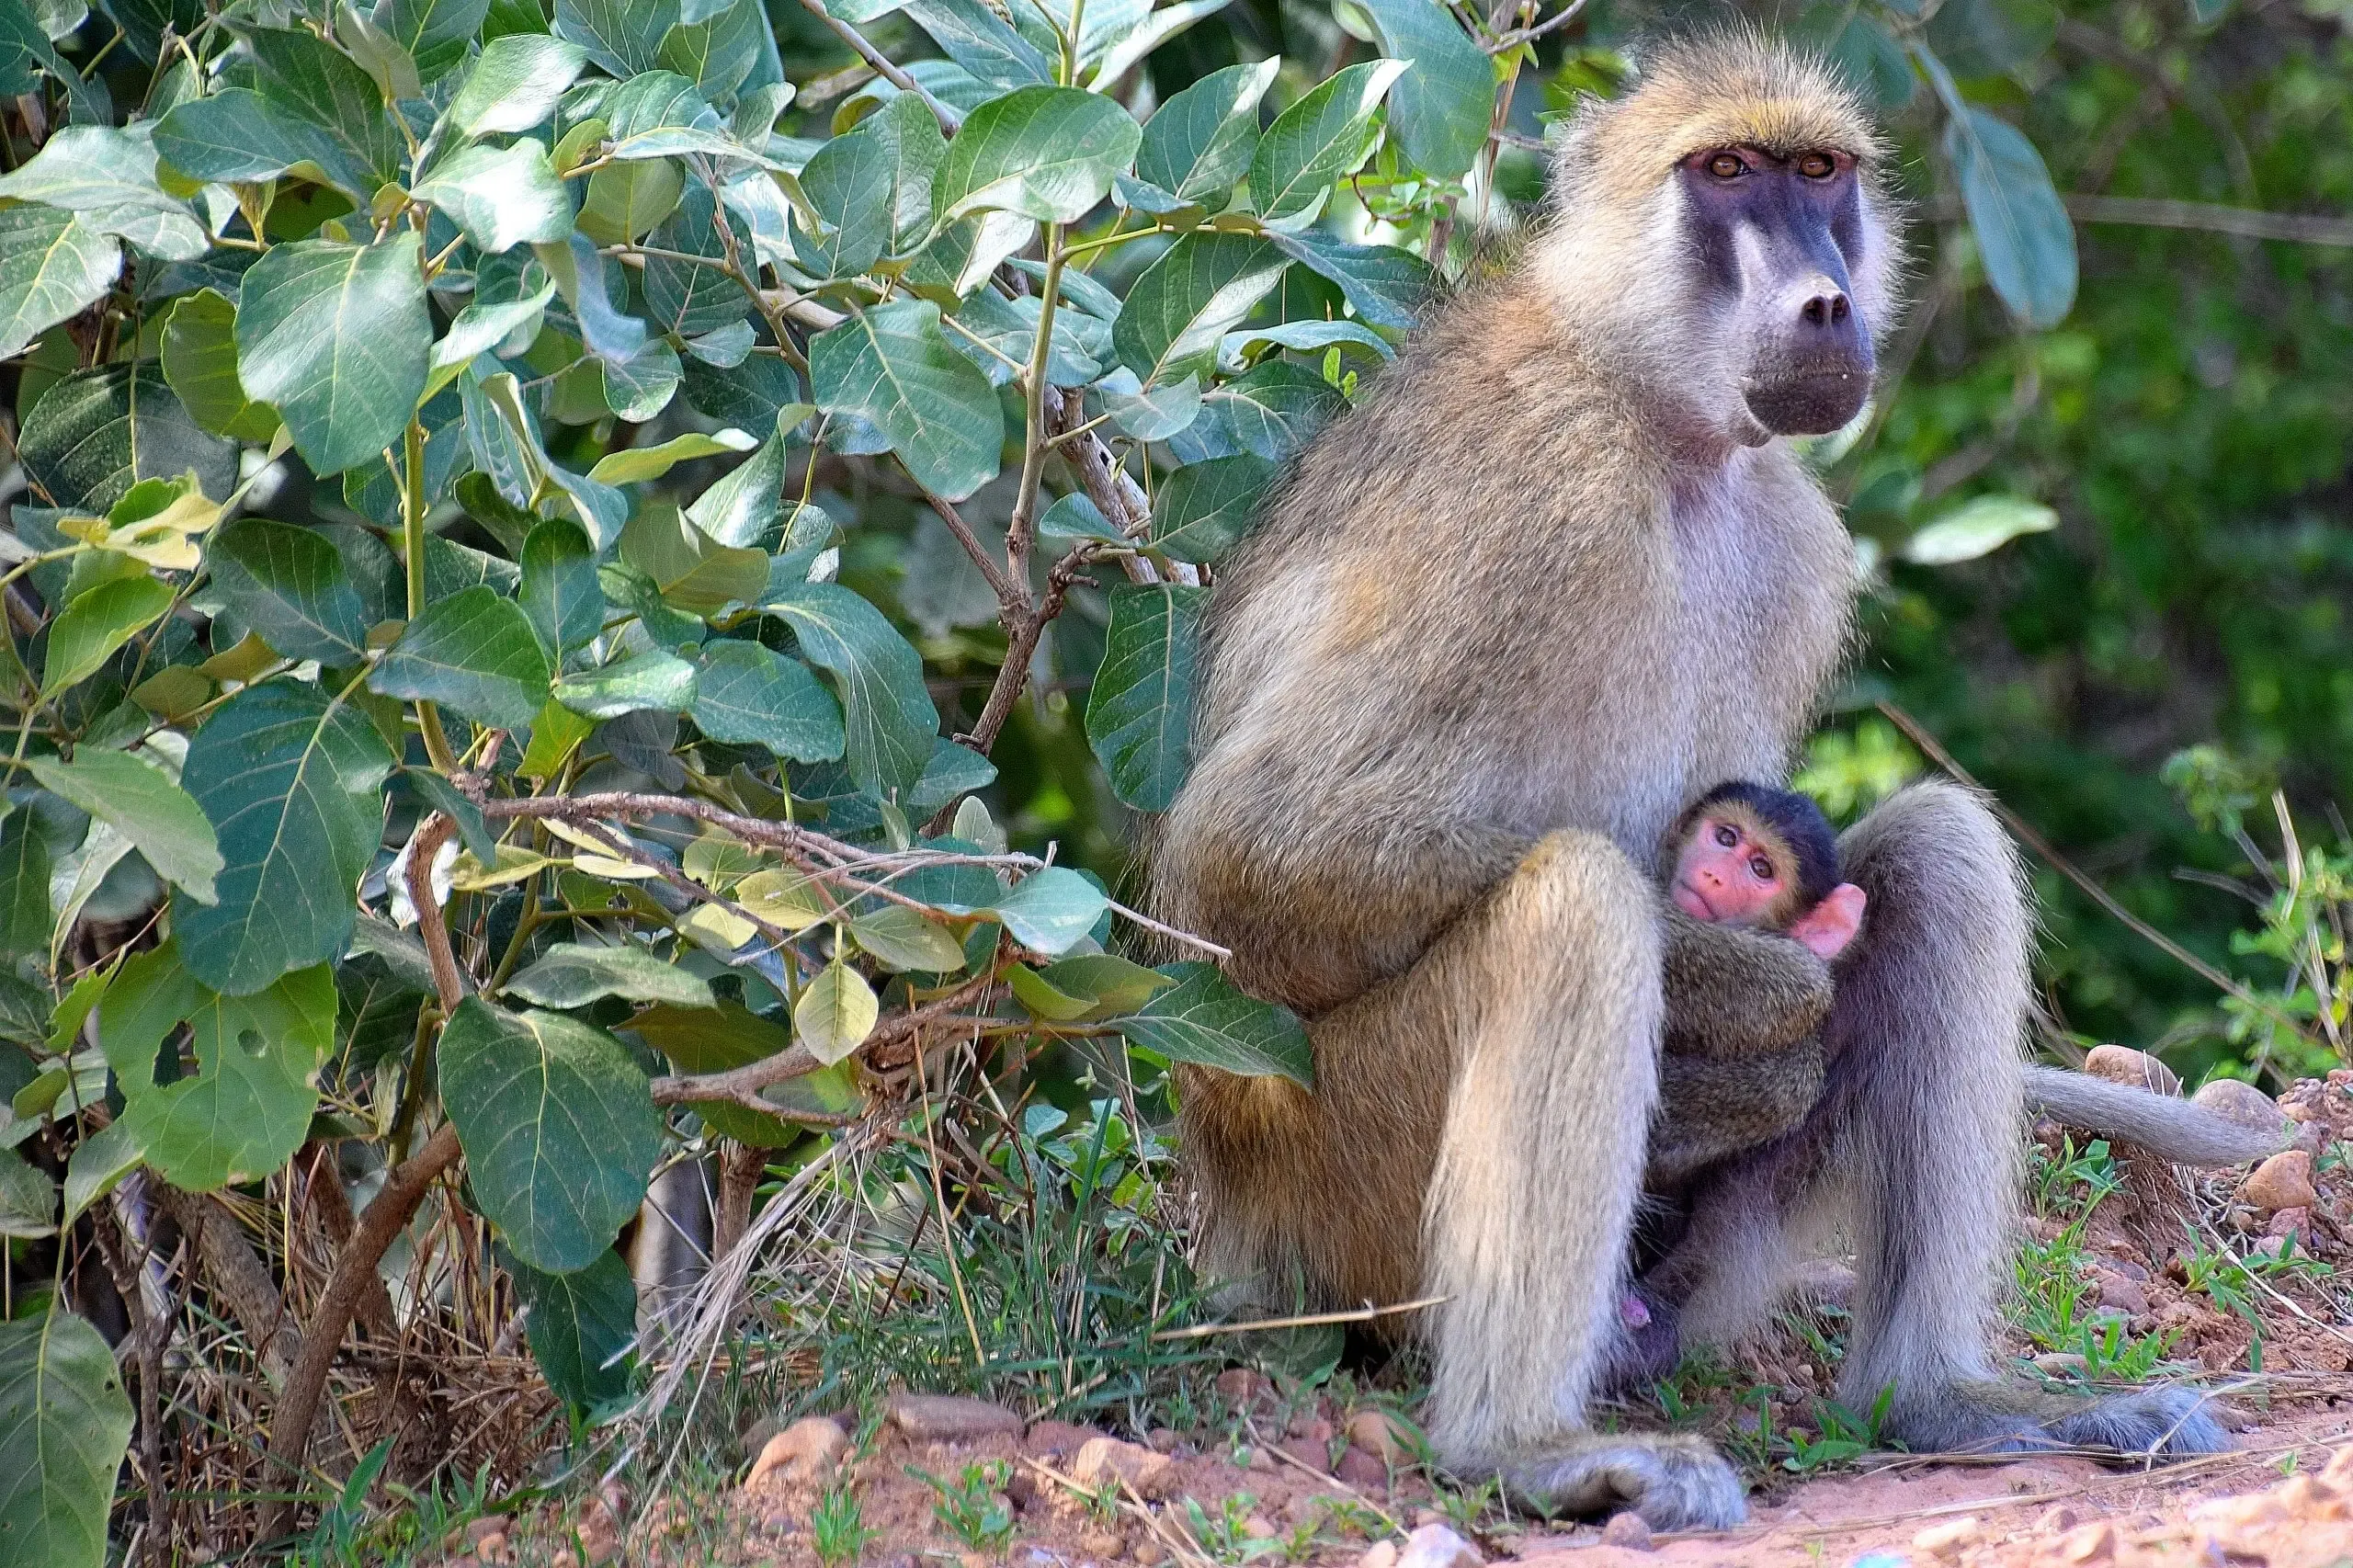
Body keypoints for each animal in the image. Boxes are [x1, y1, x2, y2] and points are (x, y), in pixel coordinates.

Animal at [1147, 33, 2277, 1530]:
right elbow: (1245, 870)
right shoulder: (1535, 498)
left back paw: (1938, 1399)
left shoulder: (1789, 535)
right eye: (1728, 172)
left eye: (1822, 172)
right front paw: (1747, 1002)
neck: (1654, 413)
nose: (1825, 299)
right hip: (1335, 1197)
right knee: (1572, 902)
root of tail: (1224, 1207)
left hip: (1684, 1274)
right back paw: (1523, 1443)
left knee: (1940, 853)